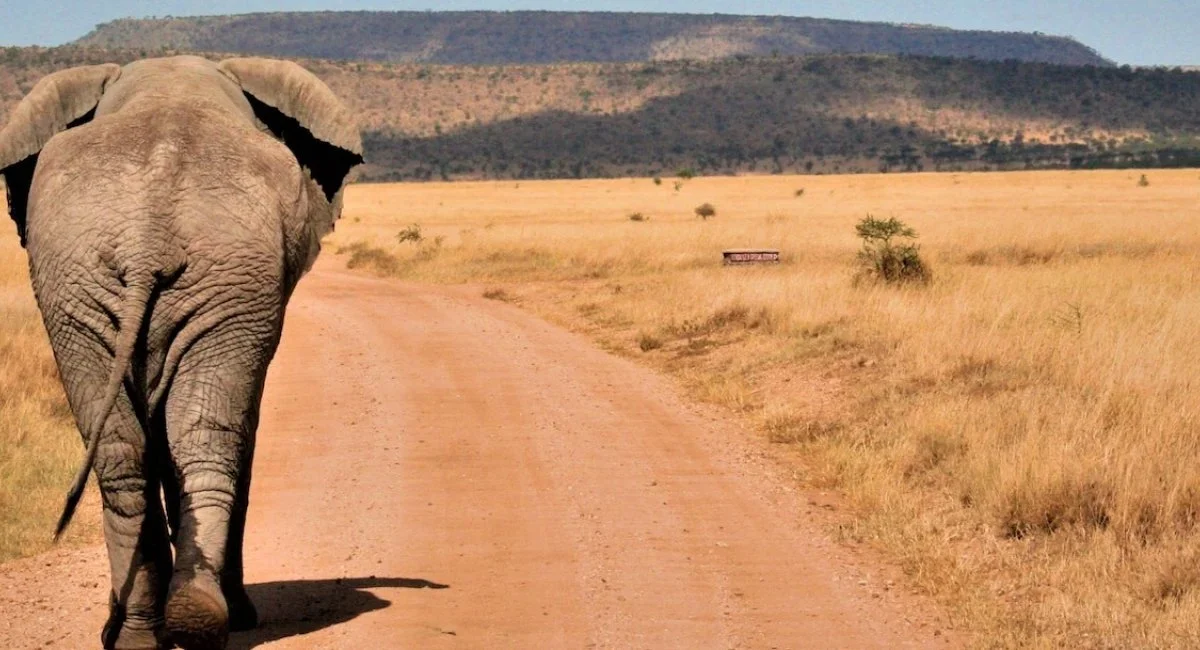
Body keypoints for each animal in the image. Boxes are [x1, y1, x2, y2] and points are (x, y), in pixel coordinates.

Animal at [0, 56, 362, 649]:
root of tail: (148, 231)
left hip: (104, 284)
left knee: (130, 455)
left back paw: (153, 630)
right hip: (174, 279)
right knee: (204, 441)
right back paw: (191, 621)